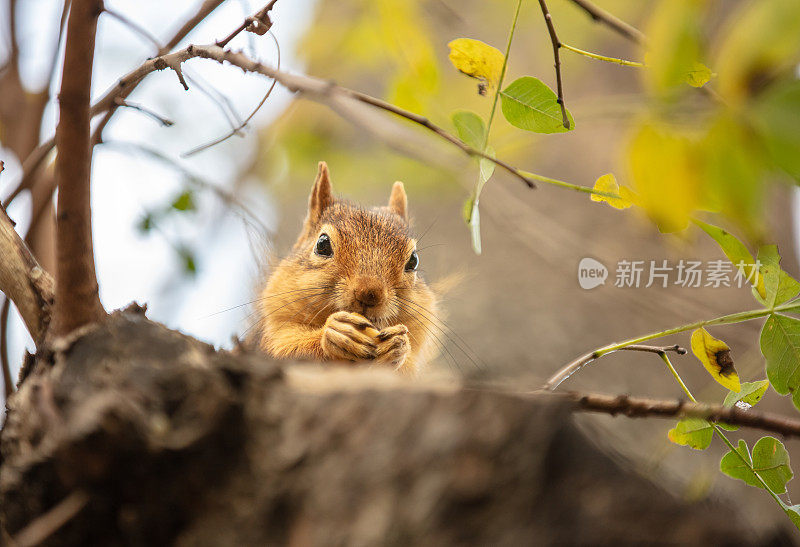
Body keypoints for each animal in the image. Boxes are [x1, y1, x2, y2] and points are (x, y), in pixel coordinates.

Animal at [256, 163, 438, 376]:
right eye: (322, 244)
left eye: (414, 260)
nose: (370, 293)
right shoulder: (271, 338)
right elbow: (285, 348)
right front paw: (335, 333)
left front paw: (398, 346)